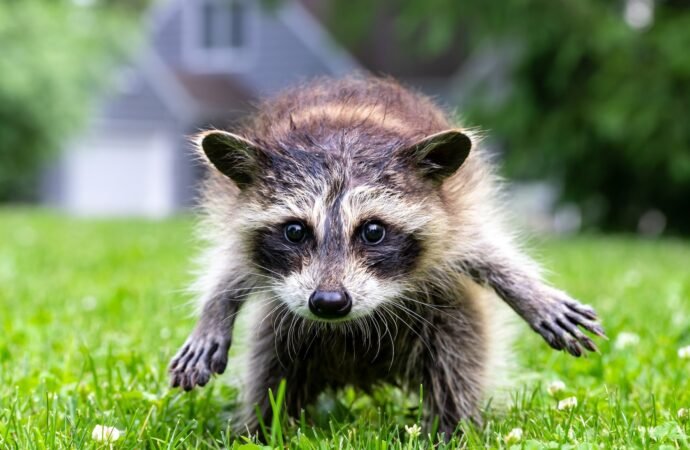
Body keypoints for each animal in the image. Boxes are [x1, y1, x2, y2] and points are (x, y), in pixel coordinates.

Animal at [168, 77, 605, 437]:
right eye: (294, 231)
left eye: (373, 231)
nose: (329, 303)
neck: (341, 135)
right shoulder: (233, 207)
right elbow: (231, 266)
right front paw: (214, 311)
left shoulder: (457, 207)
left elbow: (487, 251)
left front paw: (529, 292)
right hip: (287, 331)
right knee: (272, 368)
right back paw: (258, 430)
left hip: (449, 315)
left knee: (458, 363)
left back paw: (451, 430)